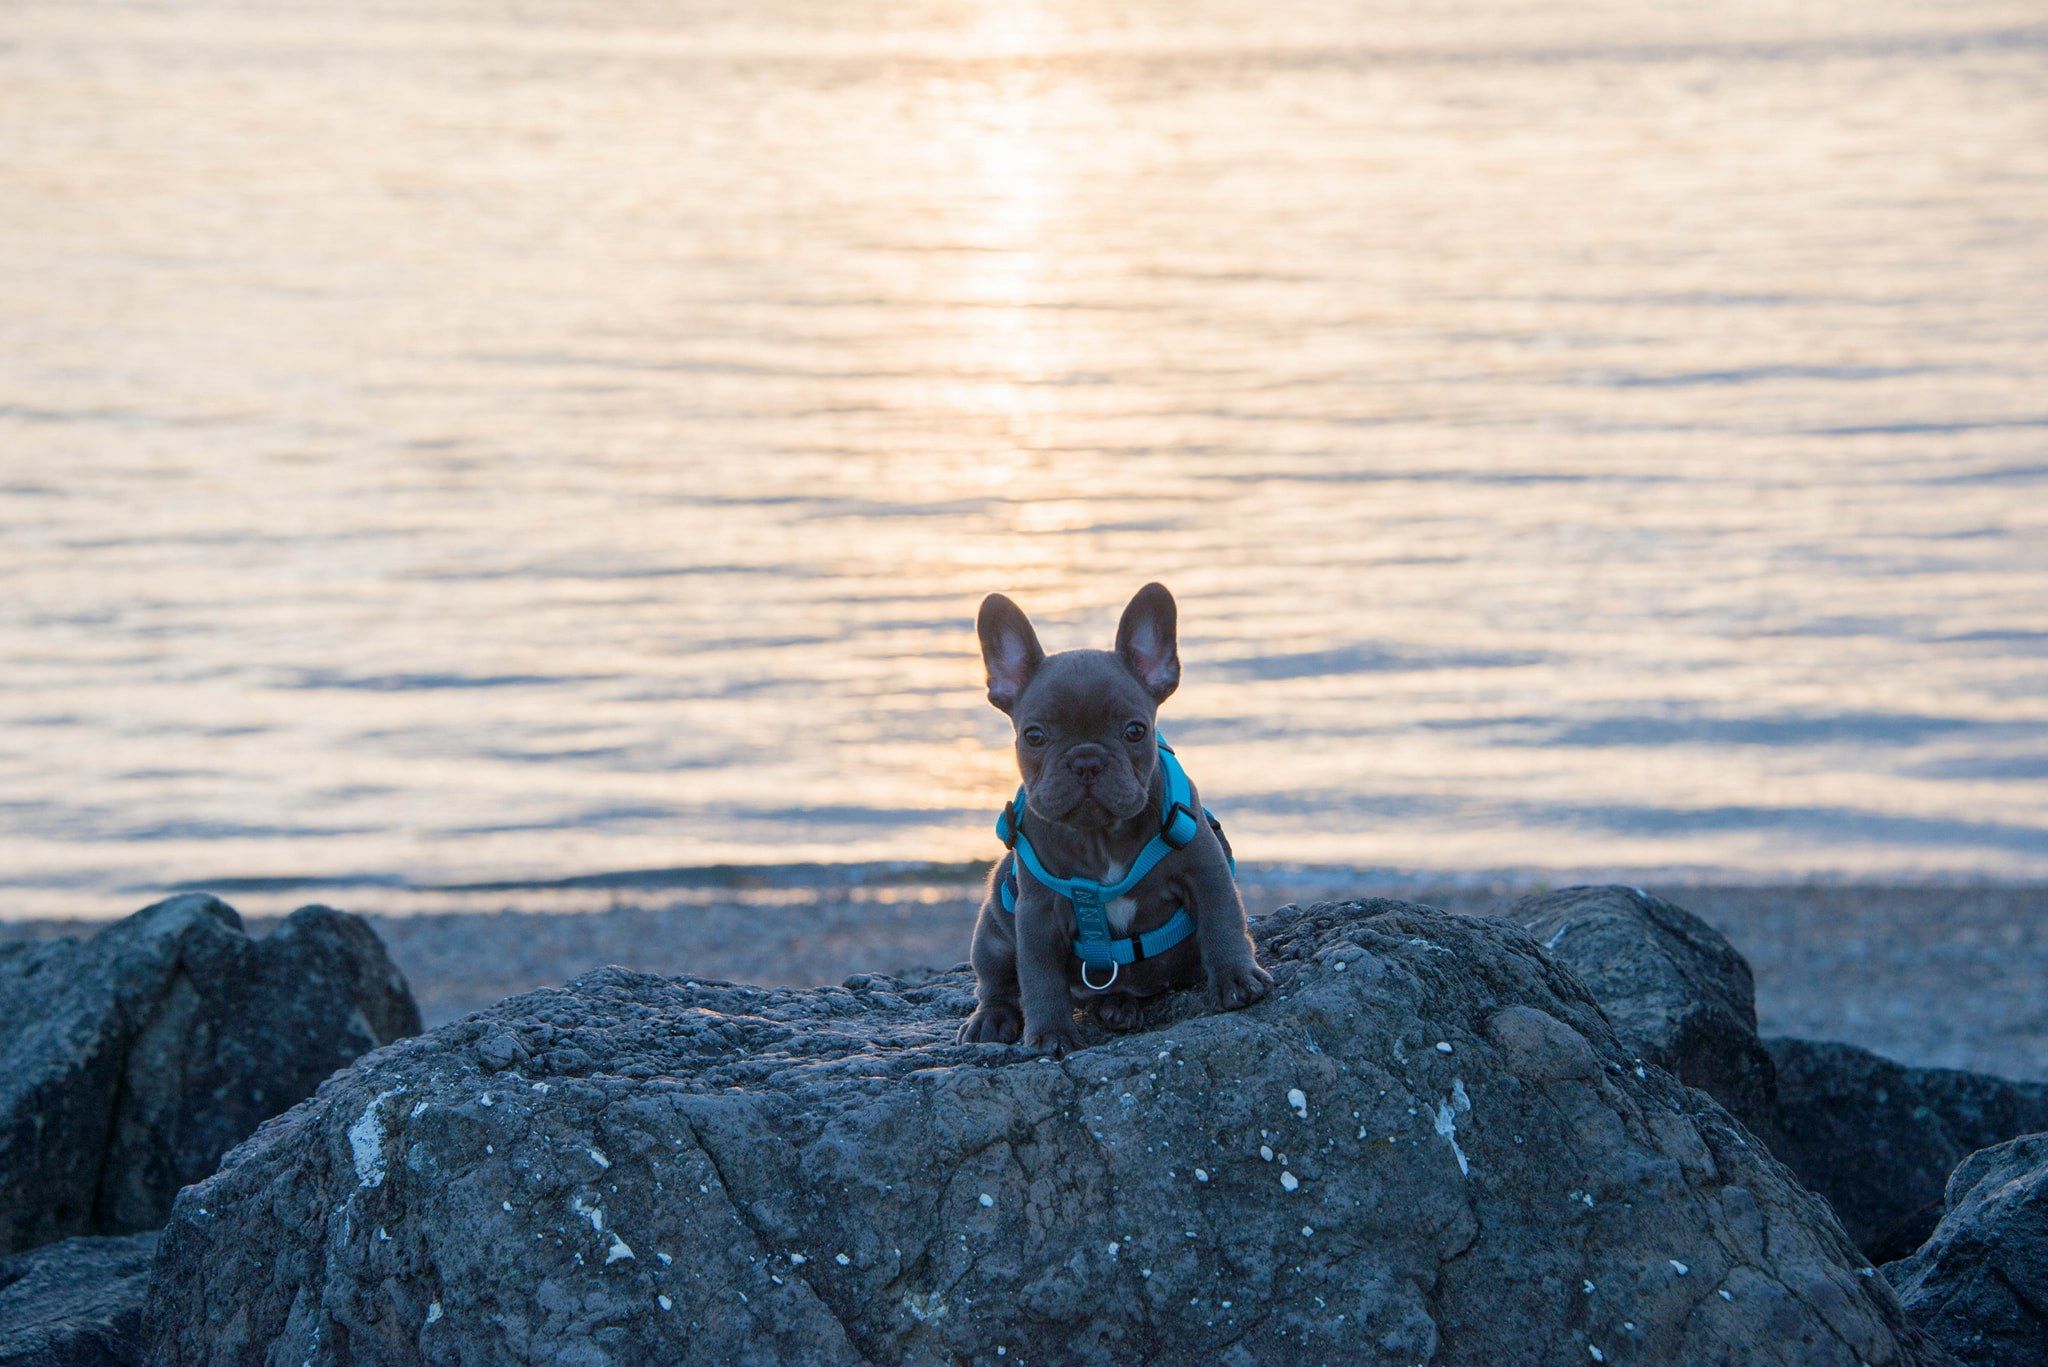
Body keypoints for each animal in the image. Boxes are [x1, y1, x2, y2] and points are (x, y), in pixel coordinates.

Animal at [954, 582, 1269, 1057]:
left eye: (1135, 731)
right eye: (1034, 736)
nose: (1087, 760)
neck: (1100, 837)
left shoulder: (1205, 870)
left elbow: (1223, 922)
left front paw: (1236, 979)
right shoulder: (1037, 915)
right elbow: (1039, 977)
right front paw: (1051, 1033)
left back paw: (1116, 1006)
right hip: (991, 930)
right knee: (998, 983)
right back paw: (994, 1018)